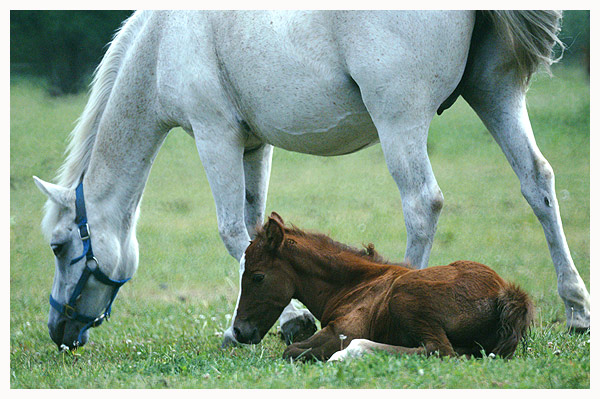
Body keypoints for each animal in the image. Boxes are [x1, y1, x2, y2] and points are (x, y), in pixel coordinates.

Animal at [233, 214, 536, 360]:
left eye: (257, 277)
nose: (239, 331)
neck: (357, 284)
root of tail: (504, 293)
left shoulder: (343, 330)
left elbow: (292, 351)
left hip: (404, 296)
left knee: (439, 351)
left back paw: (353, 352)